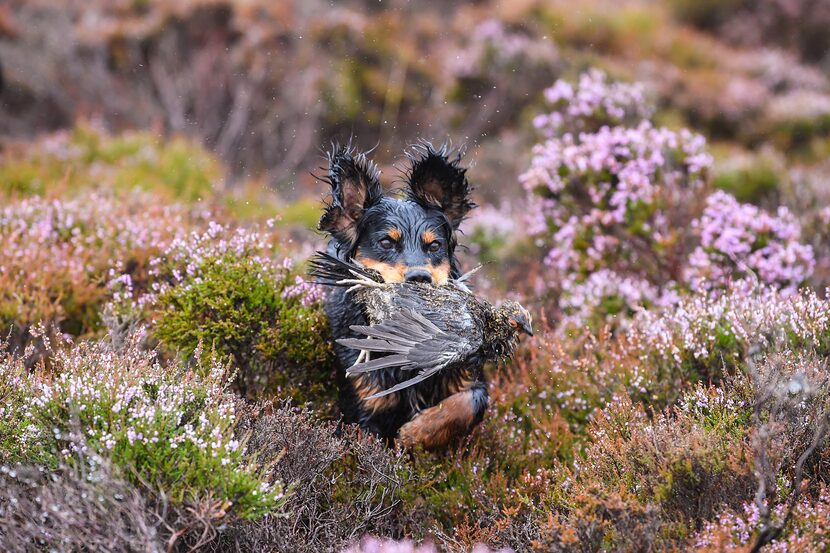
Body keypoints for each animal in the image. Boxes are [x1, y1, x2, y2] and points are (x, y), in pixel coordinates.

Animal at [320, 142, 488, 448]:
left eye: (434, 245)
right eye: (386, 242)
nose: (419, 278)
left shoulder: (466, 375)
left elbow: (468, 403)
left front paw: (417, 432)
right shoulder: (366, 403)